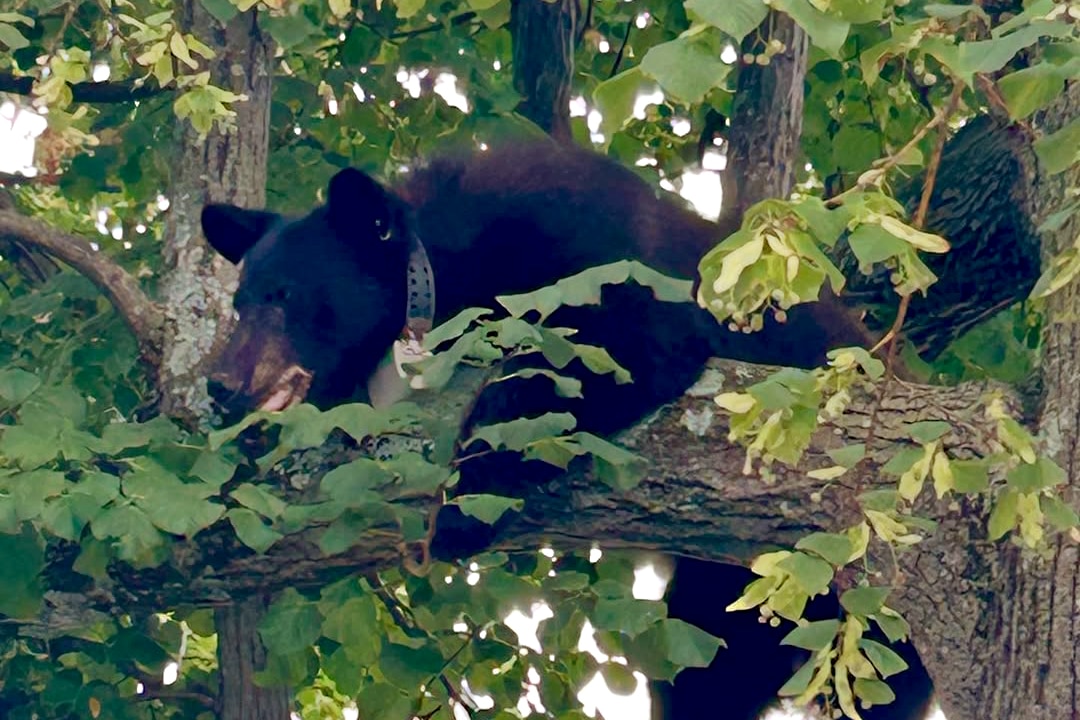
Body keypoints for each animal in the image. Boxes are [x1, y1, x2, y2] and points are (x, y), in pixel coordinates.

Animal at [200, 139, 934, 720]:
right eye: (239, 302)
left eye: (284, 296)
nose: (218, 385)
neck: (440, 268)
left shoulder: (596, 254)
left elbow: (596, 357)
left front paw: (466, 504)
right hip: (731, 605)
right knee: (705, 680)